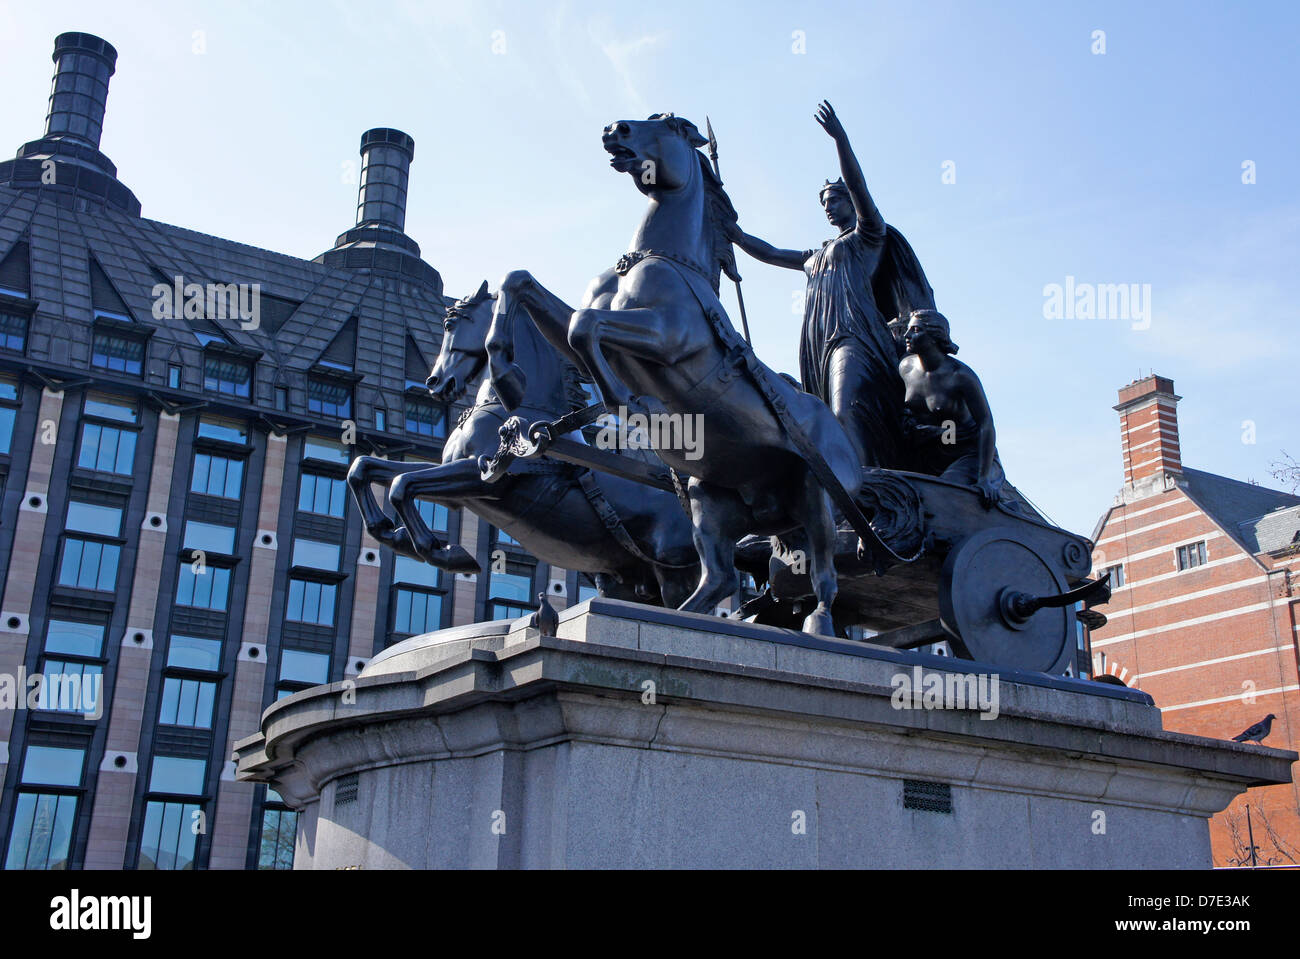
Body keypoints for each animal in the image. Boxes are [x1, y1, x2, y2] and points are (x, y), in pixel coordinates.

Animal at [345, 280, 702, 600]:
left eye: (451, 324)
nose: (435, 382)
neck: (516, 414)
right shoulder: (458, 489)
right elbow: (364, 468)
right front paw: (388, 530)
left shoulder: (482, 477)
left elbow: (401, 485)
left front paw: (443, 551)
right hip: (629, 581)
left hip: (676, 574)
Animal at [488, 111, 863, 634]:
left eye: (666, 125)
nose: (614, 129)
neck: (659, 261)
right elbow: (524, 284)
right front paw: (506, 373)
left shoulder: (668, 336)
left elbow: (586, 327)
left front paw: (628, 402)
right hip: (710, 499)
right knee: (720, 579)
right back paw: (679, 618)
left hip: (817, 494)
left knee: (825, 573)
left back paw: (820, 623)